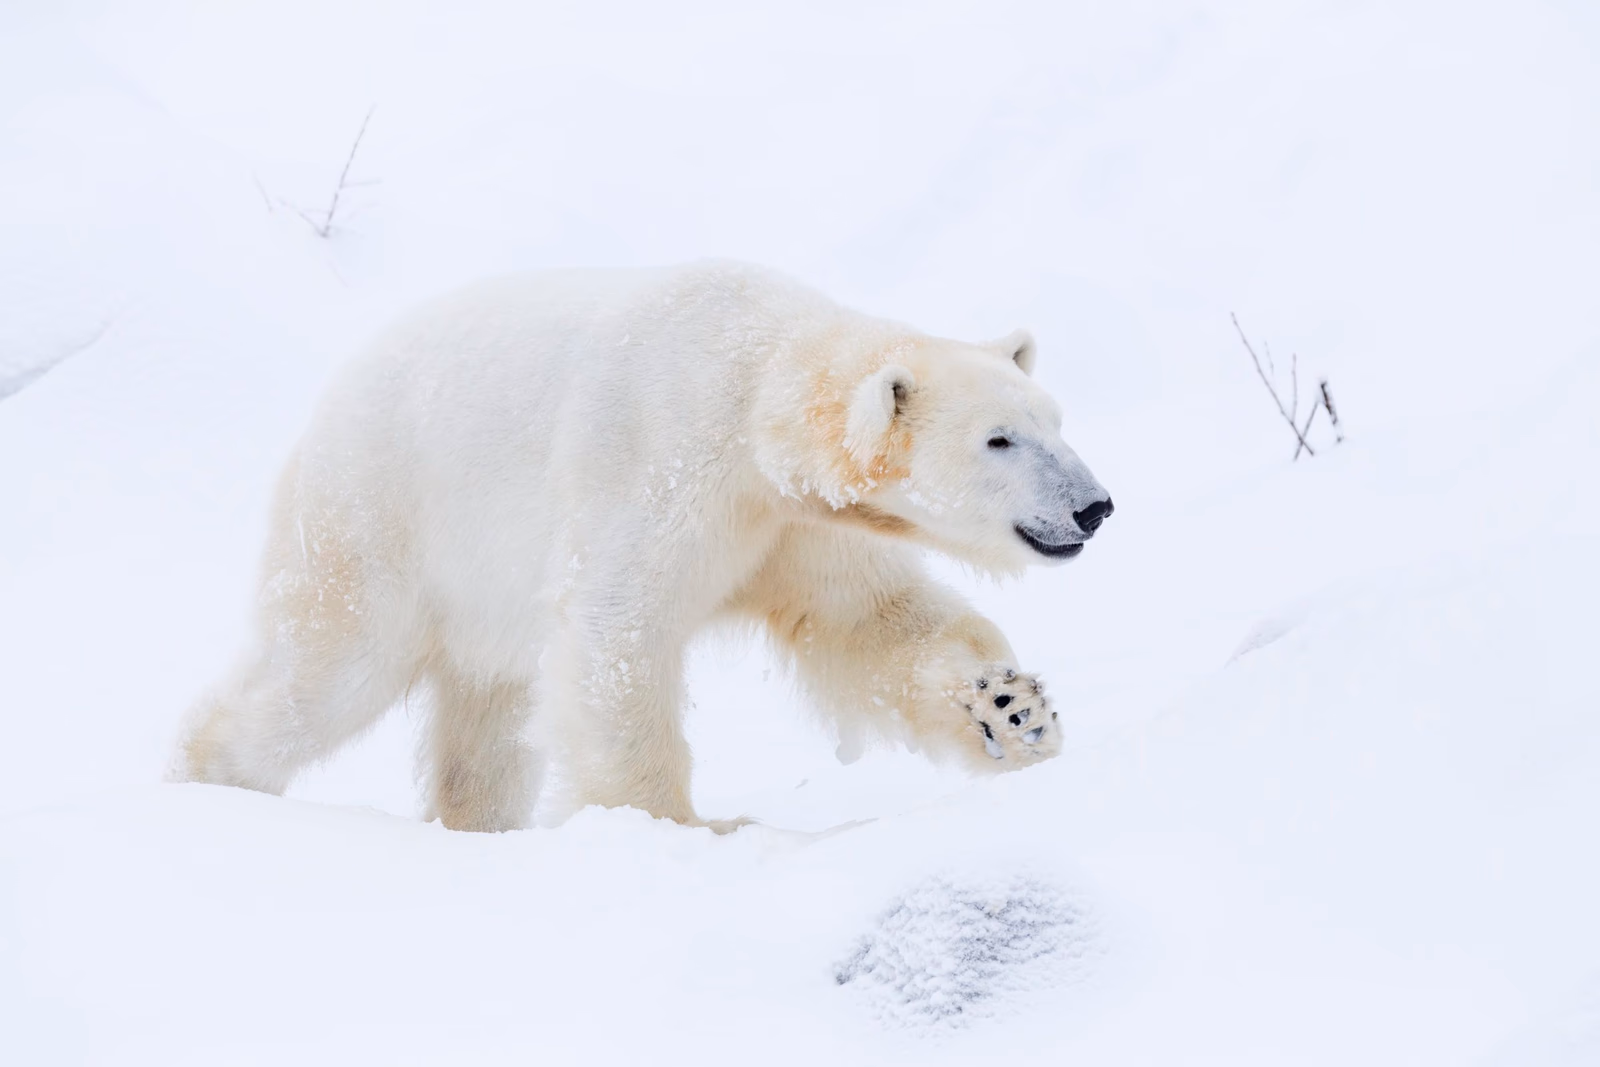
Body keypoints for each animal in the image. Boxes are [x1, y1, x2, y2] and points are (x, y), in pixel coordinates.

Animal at [174, 261, 1113, 832]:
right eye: (999, 440)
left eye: (1055, 420)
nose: (1095, 506)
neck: (753, 383)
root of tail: (329, 402)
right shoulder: (660, 457)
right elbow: (619, 630)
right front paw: (681, 823)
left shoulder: (794, 525)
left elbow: (871, 618)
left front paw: (1013, 710)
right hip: (380, 518)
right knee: (326, 668)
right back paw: (211, 777)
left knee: (487, 717)